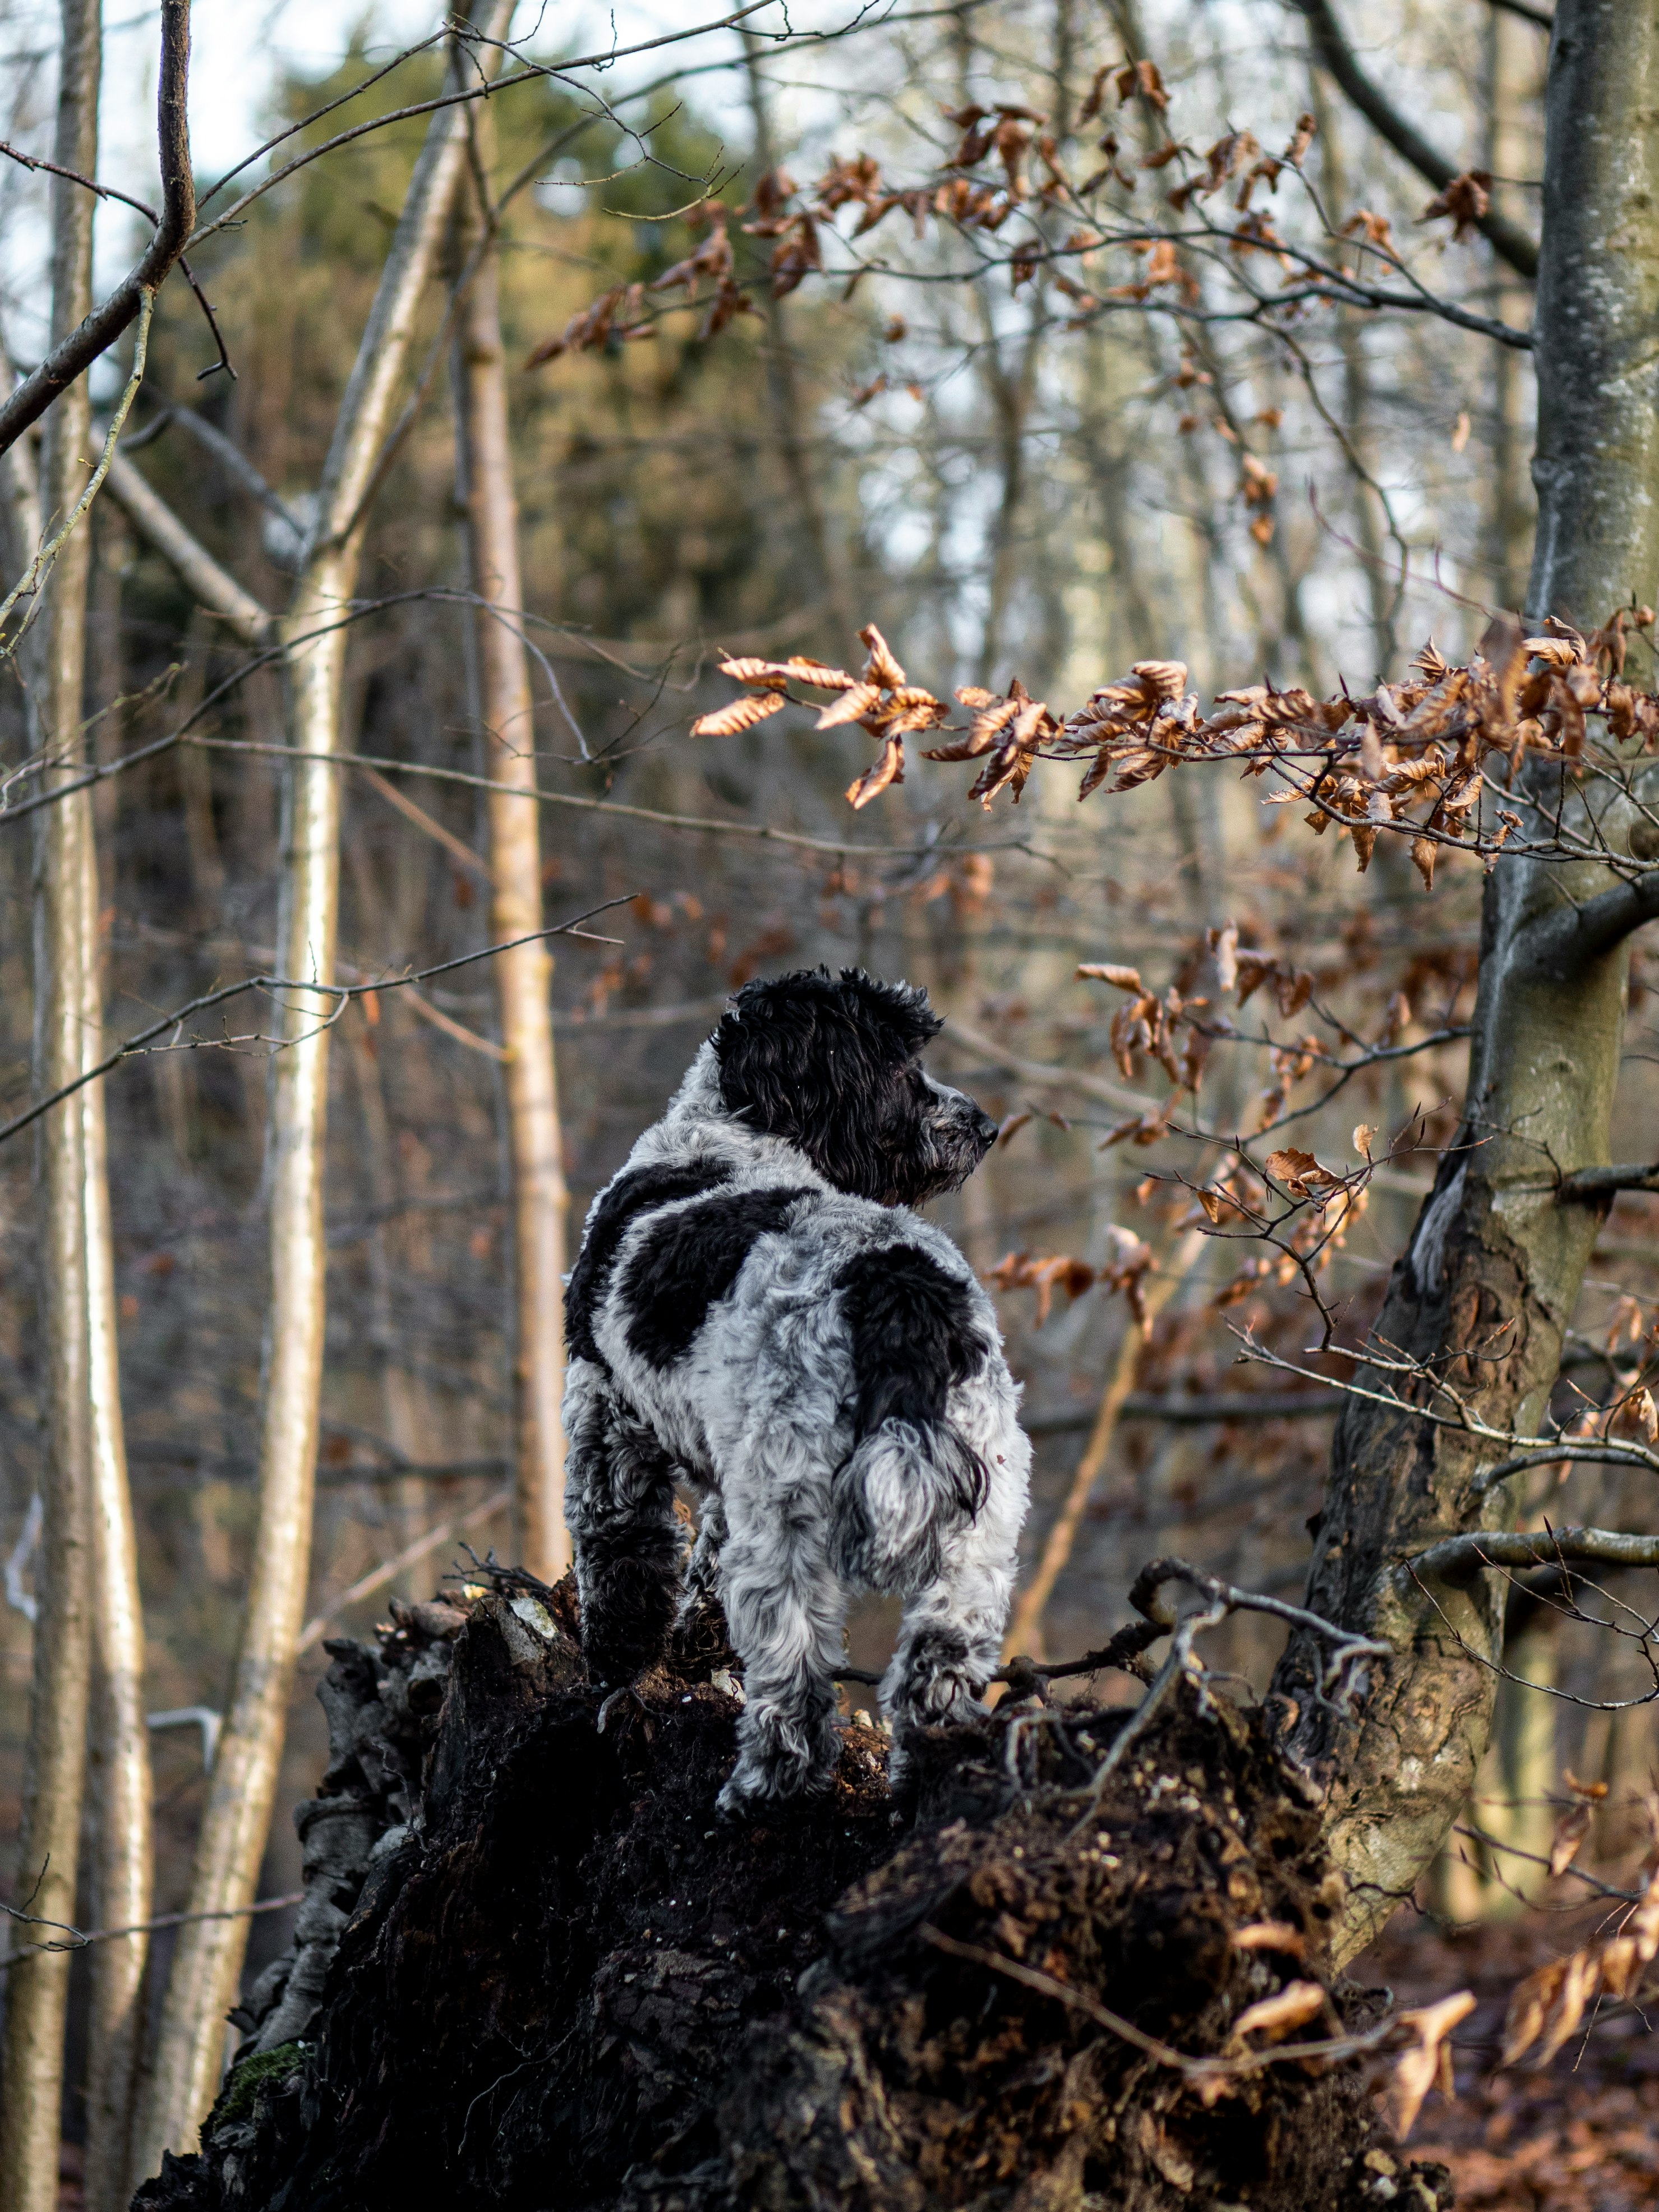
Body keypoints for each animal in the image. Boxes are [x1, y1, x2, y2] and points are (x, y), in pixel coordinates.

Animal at [566, 969, 1035, 1814]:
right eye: (898, 1067)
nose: (984, 1126)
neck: (737, 1137)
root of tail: (895, 1288)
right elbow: (702, 1568)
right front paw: (690, 1651)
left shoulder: (603, 1411)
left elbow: (620, 1559)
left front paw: (617, 1674)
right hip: (981, 1506)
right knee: (940, 1655)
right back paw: (927, 1776)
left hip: (786, 1504)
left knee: (793, 1661)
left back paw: (765, 1788)